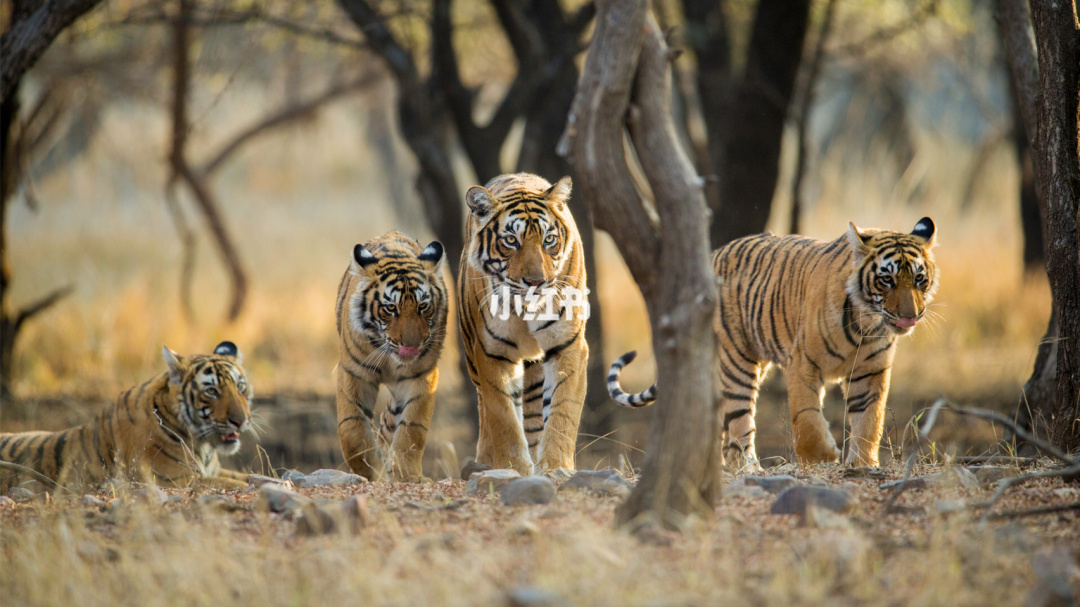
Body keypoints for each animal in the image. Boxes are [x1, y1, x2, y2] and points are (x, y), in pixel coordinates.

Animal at [0, 341, 253, 492]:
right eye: (212, 391)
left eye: (240, 387)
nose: (240, 421)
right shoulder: (176, 479)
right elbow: (237, 483)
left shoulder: (213, 471)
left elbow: (250, 476)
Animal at [330, 228, 444, 479]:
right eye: (391, 308)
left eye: (423, 306)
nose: (411, 346)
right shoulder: (354, 373)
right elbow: (352, 430)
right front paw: (372, 472)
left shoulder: (420, 375)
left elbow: (412, 428)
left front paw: (406, 475)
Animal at [457, 172, 591, 475]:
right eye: (510, 240)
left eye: (549, 239)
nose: (536, 282)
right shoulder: (492, 352)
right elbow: (503, 417)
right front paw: (514, 468)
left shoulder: (568, 345)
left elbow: (562, 410)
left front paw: (555, 466)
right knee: (485, 409)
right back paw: (484, 461)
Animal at [609, 217, 937, 468]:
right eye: (886, 280)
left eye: (919, 279)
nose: (910, 316)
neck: (865, 325)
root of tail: (713, 255)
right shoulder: (803, 364)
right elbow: (806, 418)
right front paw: (822, 457)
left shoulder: (870, 372)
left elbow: (870, 420)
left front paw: (863, 464)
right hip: (737, 362)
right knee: (739, 423)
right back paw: (748, 468)